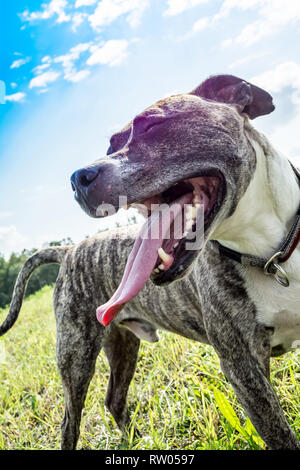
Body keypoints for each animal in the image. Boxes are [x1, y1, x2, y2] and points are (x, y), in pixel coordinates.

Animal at [1, 73, 300, 448]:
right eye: (111, 146)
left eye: (153, 125)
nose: (77, 178)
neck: (270, 255)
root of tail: (69, 250)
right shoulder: (244, 368)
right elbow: (280, 434)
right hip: (76, 355)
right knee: (70, 420)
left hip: (121, 344)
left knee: (114, 399)